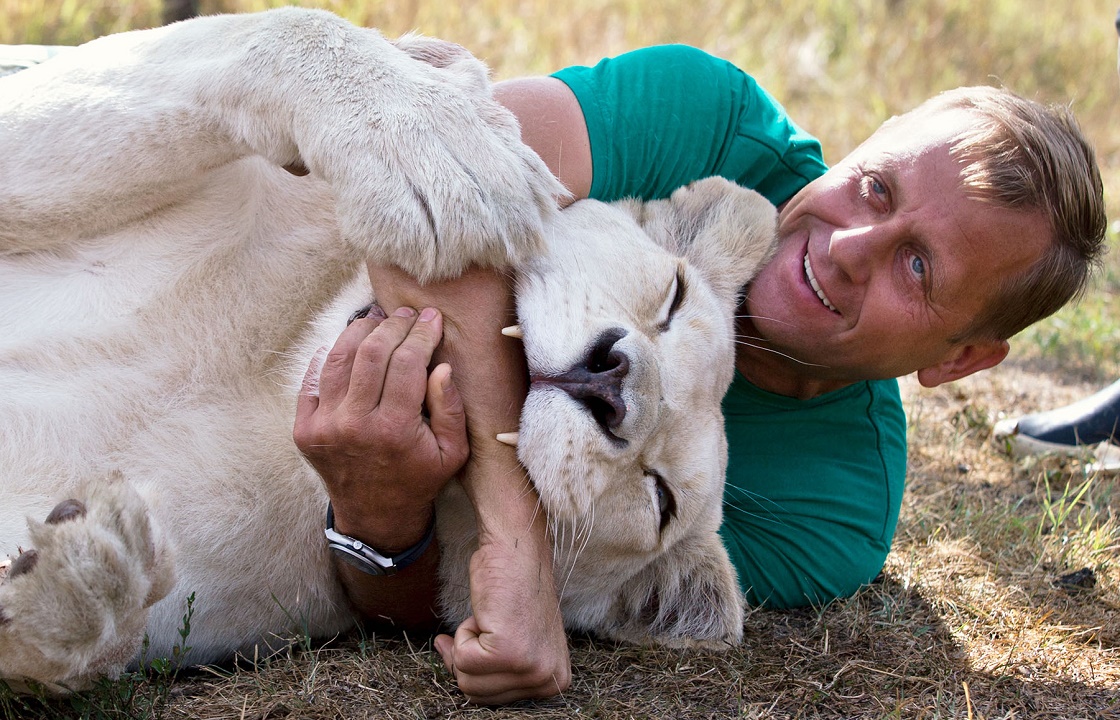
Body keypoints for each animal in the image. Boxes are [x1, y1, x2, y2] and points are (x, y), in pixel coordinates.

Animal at [0, 7, 775, 694]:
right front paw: (439, 143)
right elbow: (283, 29)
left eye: (659, 497)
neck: (259, 370)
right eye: (671, 299)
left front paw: (77, 577)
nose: (614, 384)